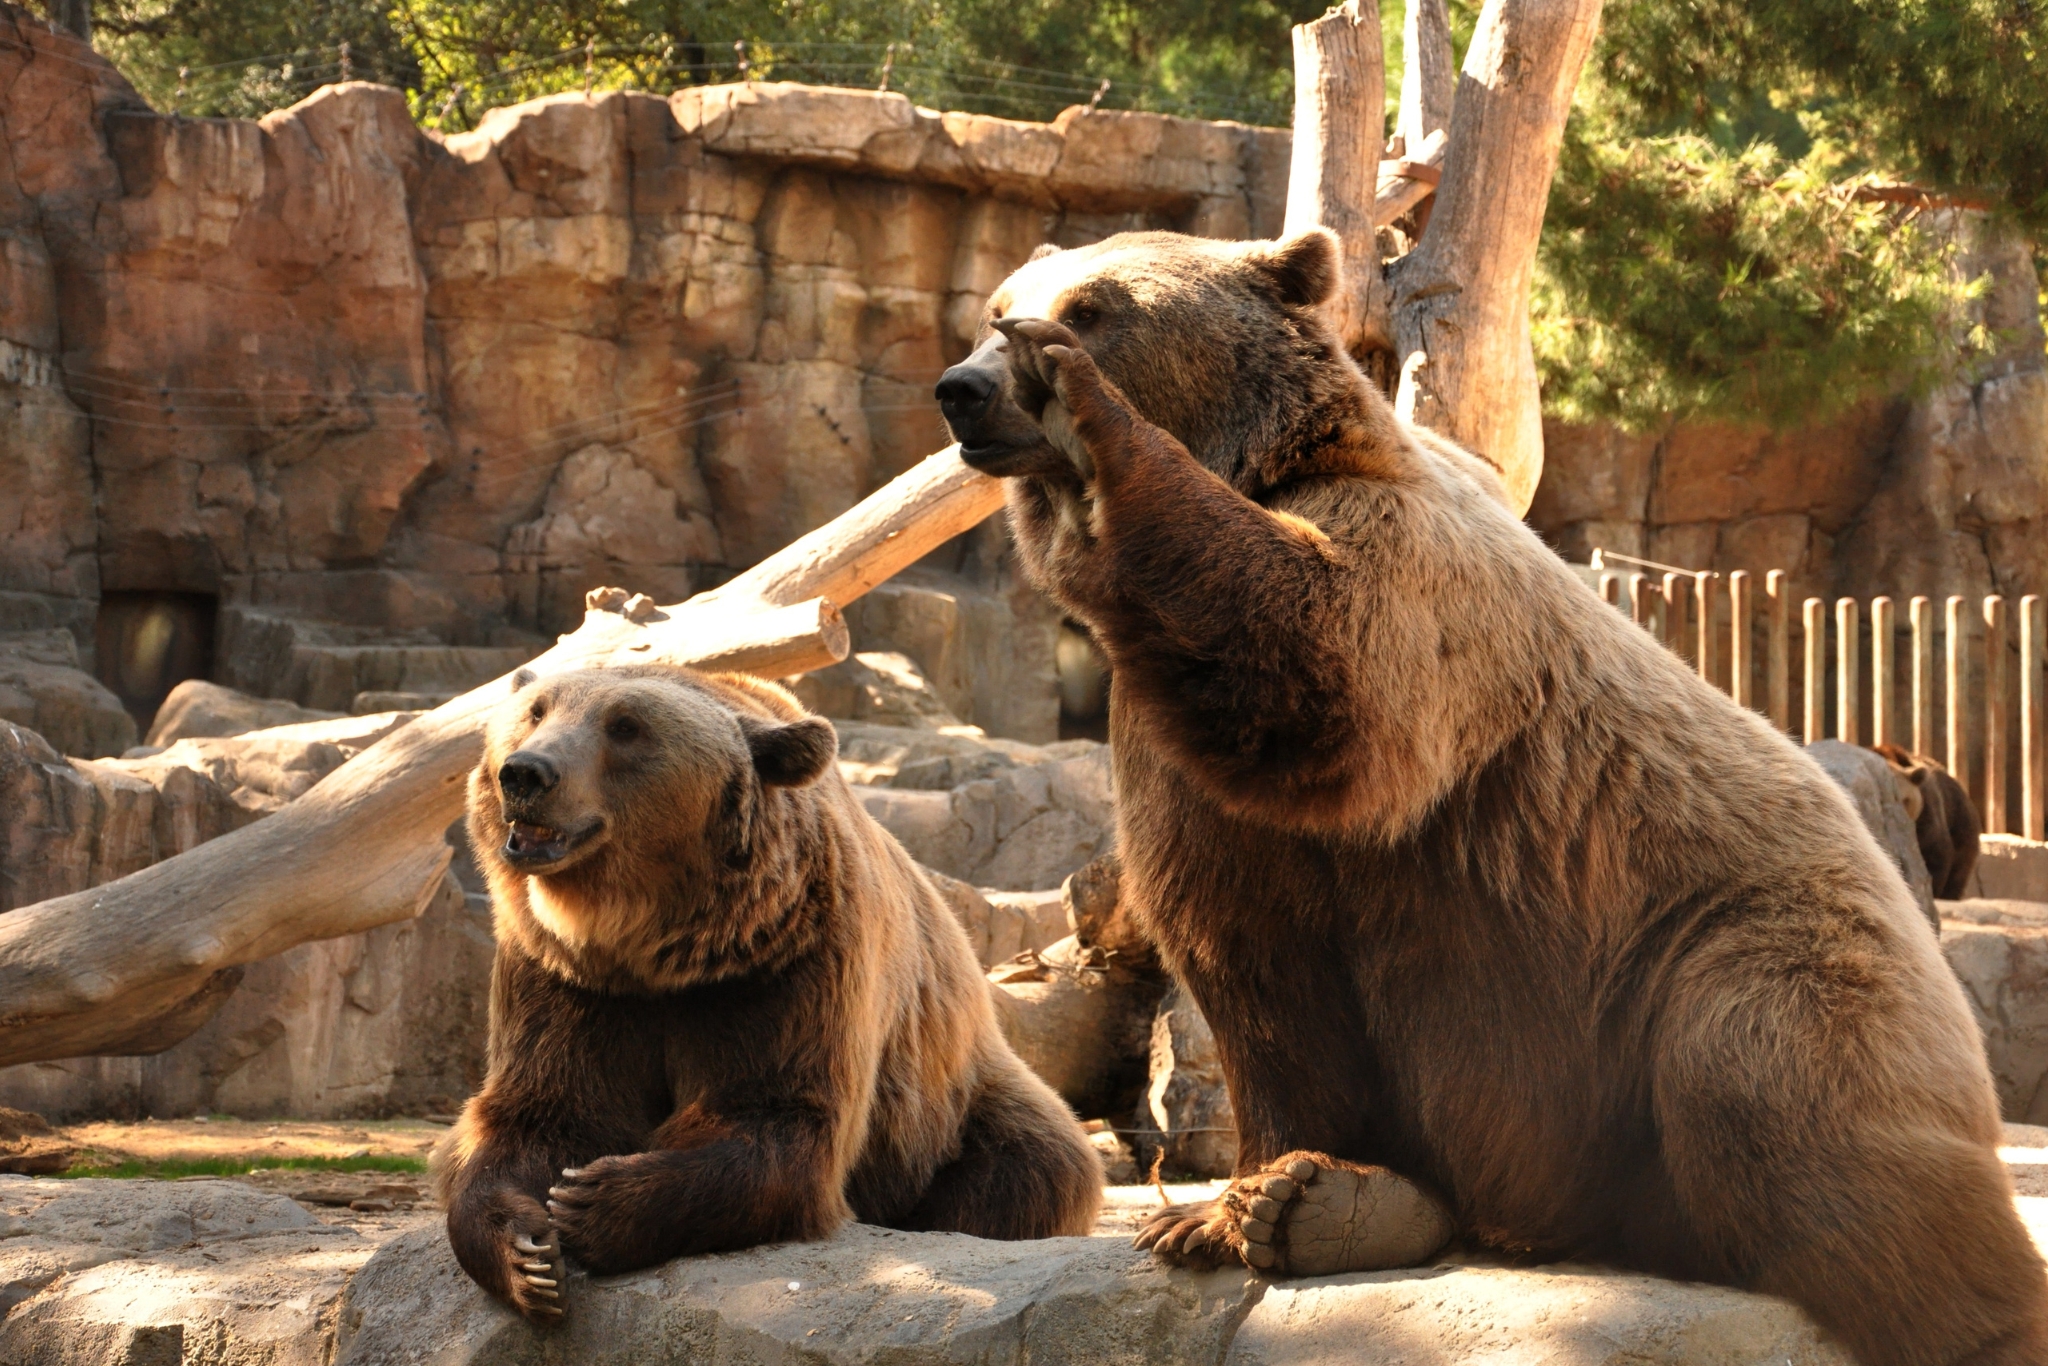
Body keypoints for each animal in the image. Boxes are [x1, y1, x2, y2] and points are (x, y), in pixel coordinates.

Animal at [433, 664, 1100, 1322]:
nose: (524, 772)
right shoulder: (565, 978)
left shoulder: (785, 963)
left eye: (626, 725)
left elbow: (776, 1116)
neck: (650, 945)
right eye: (537, 711)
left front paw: (592, 1201)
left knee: (1033, 1164)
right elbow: (540, 1113)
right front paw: (527, 1256)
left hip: (954, 1100)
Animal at [1873, 742, 1982, 901]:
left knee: (1959, 870)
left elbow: (1936, 855)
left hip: (1961, 824)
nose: (1898, 821)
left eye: (1903, 799)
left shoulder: (1927, 815)